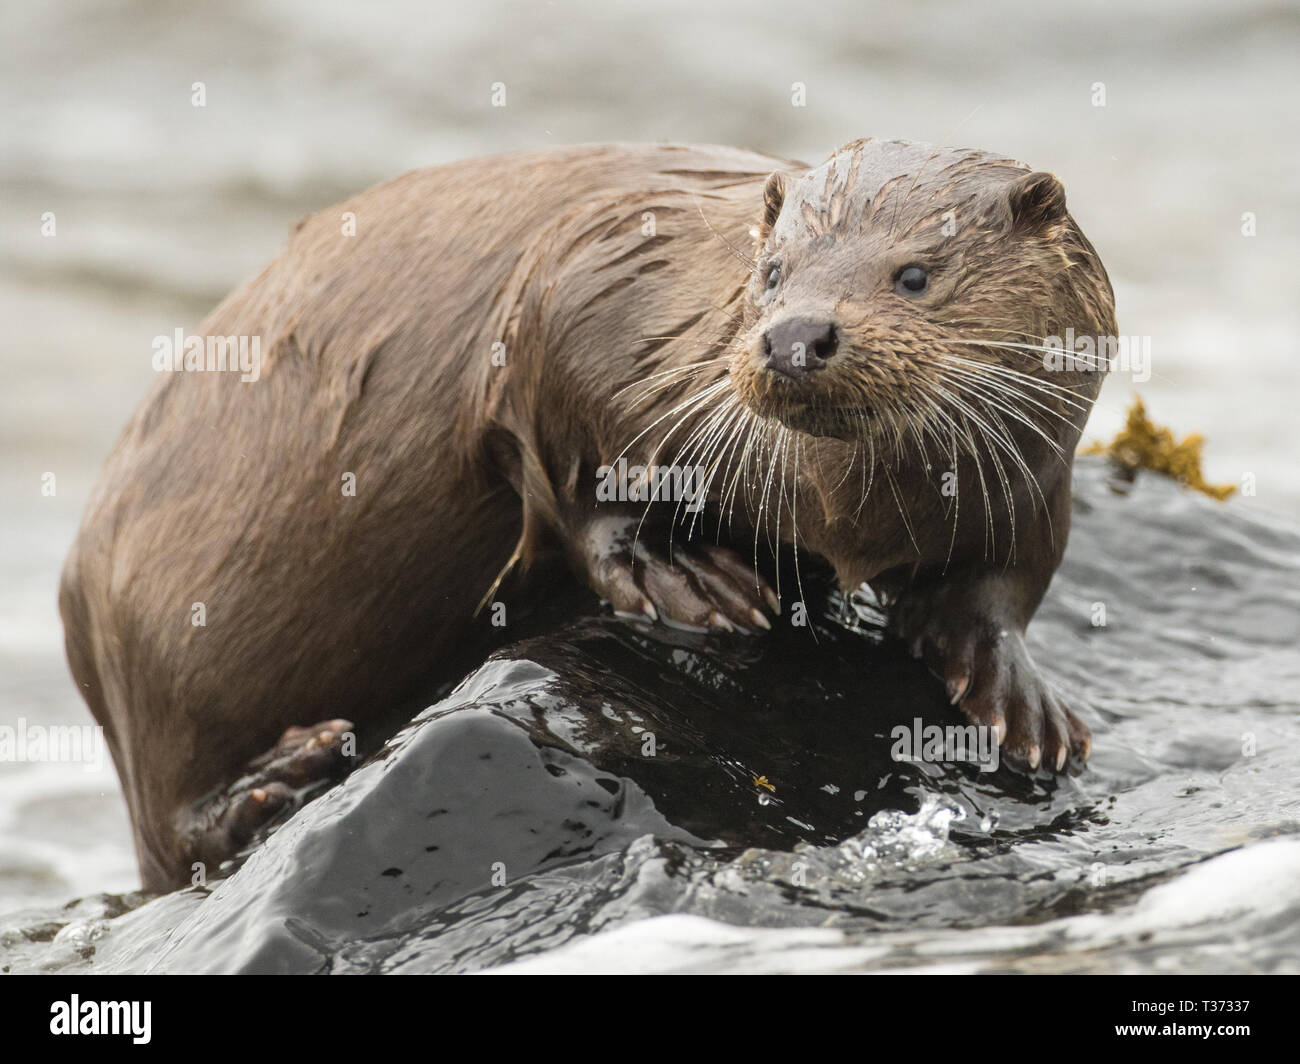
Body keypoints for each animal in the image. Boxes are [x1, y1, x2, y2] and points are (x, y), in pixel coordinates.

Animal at [61, 139, 1118, 889]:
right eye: (772, 272)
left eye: (914, 275)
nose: (794, 336)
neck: (844, 515)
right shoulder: (585, 280)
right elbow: (573, 482)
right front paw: (682, 576)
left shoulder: (1037, 474)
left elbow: (1001, 588)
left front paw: (1021, 696)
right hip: (148, 655)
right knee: (170, 824)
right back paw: (282, 774)